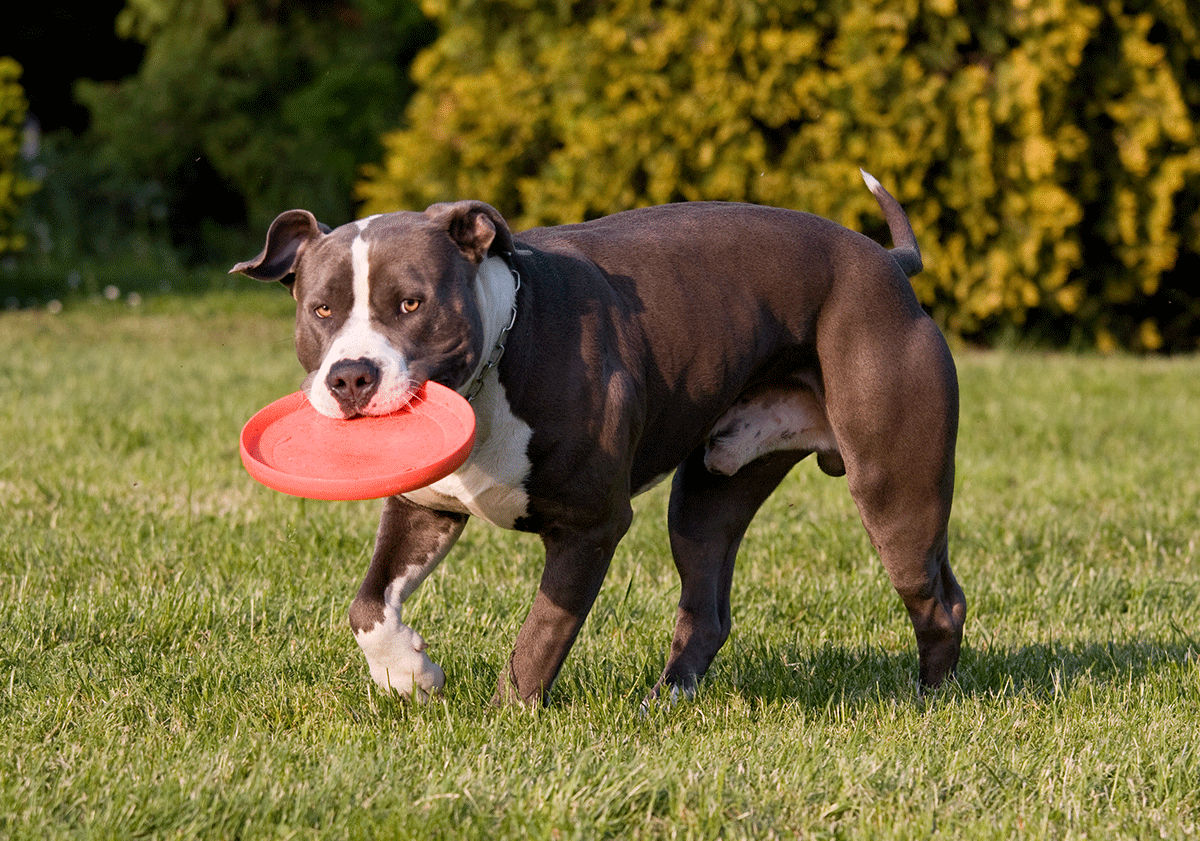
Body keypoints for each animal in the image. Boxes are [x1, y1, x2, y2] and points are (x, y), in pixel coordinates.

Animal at [231, 173, 964, 705]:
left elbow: (540, 636)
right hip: (710, 493)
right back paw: (665, 703)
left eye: (411, 303)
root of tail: (887, 262)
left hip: (895, 488)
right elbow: (368, 604)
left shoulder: (590, 526)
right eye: (321, 309)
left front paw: (506, 718)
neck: (500, 356)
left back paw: (930, 700)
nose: (351, 376)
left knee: (937, 595)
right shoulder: (423, 508)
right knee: (706, 605)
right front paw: (408, 674)